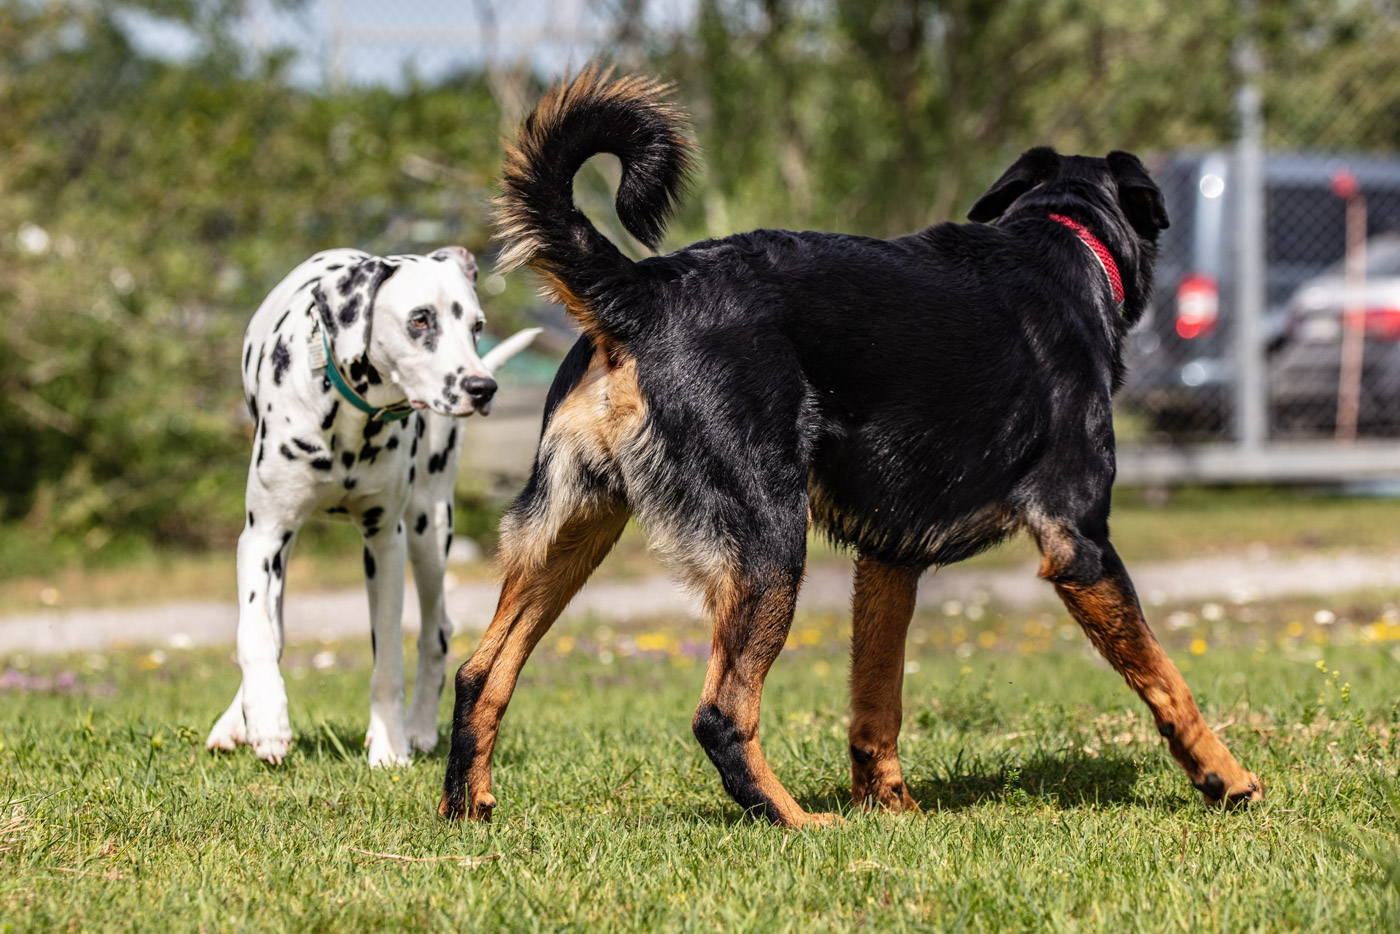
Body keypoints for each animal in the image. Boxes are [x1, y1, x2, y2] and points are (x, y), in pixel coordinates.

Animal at [204, 246, 537, 767]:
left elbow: (389, 661)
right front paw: (266, 720)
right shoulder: (263, 536)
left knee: (436, 632)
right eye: (420, 319)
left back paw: (419, 729)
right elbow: (257, 633)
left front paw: (390, 744)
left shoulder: (386, 543)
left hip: (428, 529)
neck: (347, 416)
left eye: (477, 325)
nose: (483, 387)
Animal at [439, 67, 1271, 823]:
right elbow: (1166, 678)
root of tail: (644, 289)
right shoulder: (1081, 544)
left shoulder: (889, 558)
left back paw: (466, 807)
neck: (1063, 243)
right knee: (721, 712)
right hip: (769, 543)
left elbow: (877, 699)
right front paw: (1224, 778)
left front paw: (891, 806)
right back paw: (793, 820)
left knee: (481, 671)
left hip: (574, 531)